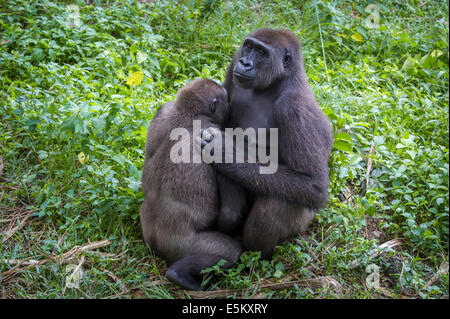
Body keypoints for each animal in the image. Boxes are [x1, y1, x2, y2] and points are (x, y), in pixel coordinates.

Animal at [142, 79, 244, 292]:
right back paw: (180, 275)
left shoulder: (162, 110)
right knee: (230, 252)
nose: (229, 109)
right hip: (184, 246)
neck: (188, 113)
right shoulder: (218, 138)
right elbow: (231, 213)